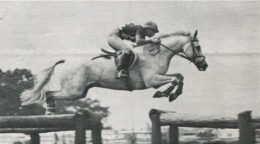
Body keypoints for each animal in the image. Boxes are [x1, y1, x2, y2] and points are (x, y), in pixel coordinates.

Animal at [19, 29, 207, 114]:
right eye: (197, 47)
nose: (204, 66)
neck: (155, 54)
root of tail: (67, 61)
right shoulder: (152, 80)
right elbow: (174, 80)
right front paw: (165, 94)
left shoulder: (159, 77)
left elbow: (179, 77)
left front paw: (172, 95)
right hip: (73, 91)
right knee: (50, 93)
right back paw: (50, 112)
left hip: (80, 92)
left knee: (50, 94)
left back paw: (50, 111)